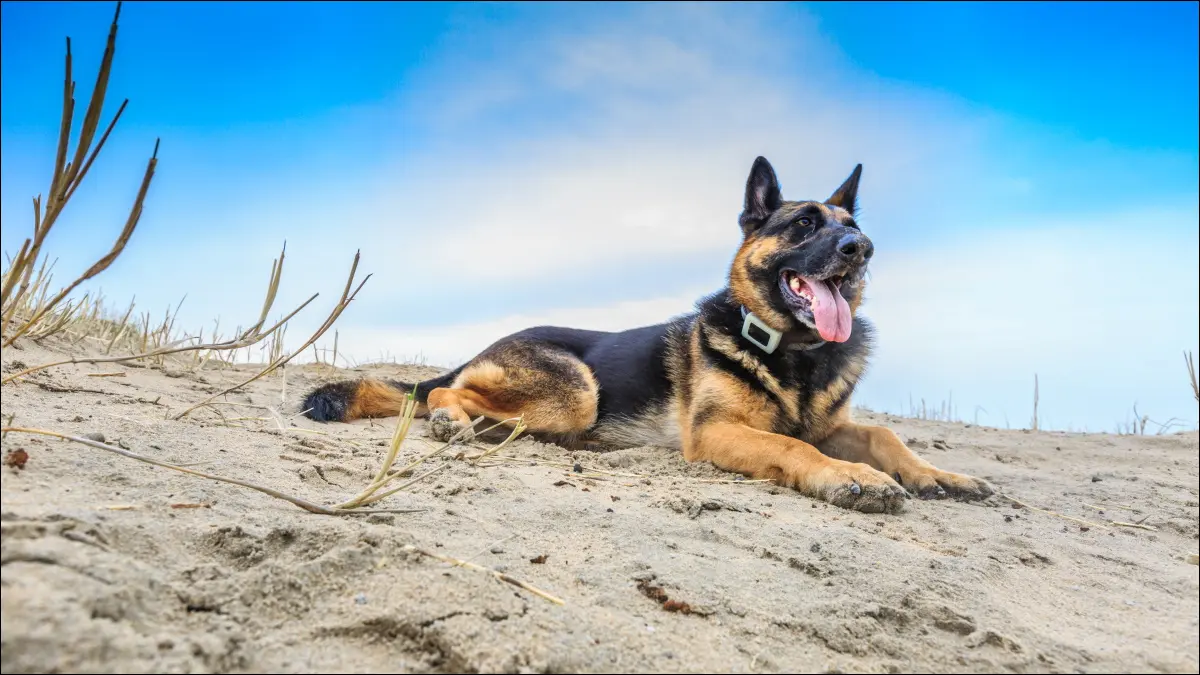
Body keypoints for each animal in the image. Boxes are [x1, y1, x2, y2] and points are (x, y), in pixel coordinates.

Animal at [302, 157, 993, 511]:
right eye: (803, 224)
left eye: (850, 225)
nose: (862, 248)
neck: (796, 353)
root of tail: (483, 348)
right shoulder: (718, 433)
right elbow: (793, 447)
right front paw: (851, 478)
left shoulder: (832, 424)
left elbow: (883, 434)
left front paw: (937, 474)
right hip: (575, 392)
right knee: (441, 396)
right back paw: (452, 419)